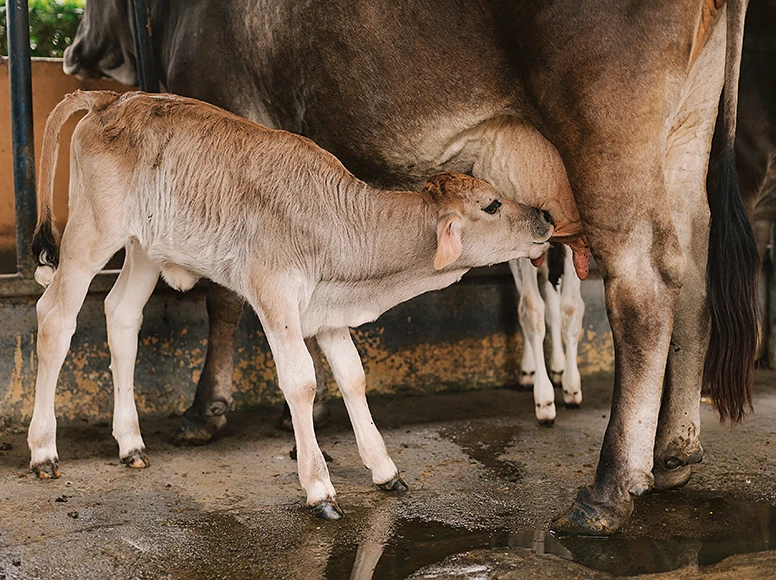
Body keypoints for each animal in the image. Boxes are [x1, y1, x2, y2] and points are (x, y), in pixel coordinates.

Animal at [28, 89, 553, 518]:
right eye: (492, 204)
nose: (546, 218)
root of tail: (112, 98)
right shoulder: (275, 292)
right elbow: (301, 381)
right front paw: (319, 488)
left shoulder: (326, 309)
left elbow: (352, 376)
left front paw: (385, 470)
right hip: (92, 234)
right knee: (55, 318)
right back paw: (44, 451)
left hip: (144, 247)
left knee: (121, 315)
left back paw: (131, 443)